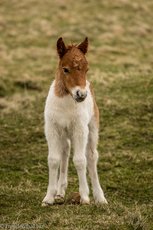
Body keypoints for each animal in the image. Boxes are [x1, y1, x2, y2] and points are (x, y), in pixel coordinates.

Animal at [41, 37, 107, 205]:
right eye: (65, 69)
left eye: (86, 69)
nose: (81, 94)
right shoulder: (52, 129)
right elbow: (53, 159)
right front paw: (48, 198)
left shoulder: (80, 130)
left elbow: (80, 160)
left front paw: (84, 197)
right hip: (64, 133)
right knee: (65, 151)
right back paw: (60, 192)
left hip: (92, 129)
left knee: (91, 156)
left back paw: (100, 197)